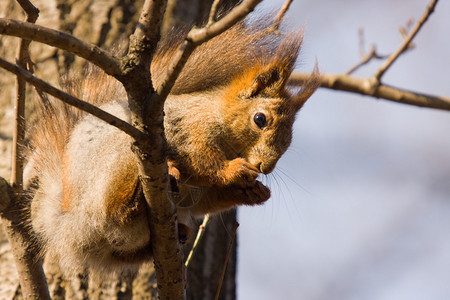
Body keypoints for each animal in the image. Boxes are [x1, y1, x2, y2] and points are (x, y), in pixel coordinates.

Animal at [22, 15, 318, 274]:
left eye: (289, 140)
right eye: (259, 119)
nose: (265, 167)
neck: (216, 114)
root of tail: (69, 225)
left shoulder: (197, 190)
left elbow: (204, 200)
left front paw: (252, 192)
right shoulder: (189, 129)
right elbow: (203, 162)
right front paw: (235, 172)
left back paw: (179, 231)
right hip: (118, 162)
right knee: (116, 210)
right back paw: (136, 196)